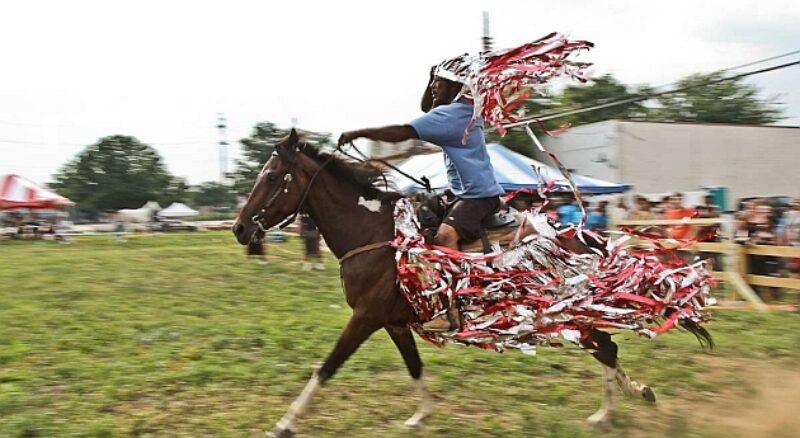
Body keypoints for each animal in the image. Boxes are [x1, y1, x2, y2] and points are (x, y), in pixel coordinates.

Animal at [231, 128, 668, 436]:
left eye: (272, 176)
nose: (239, 229)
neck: (374, 234)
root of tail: (586, 235)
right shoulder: (392, 321)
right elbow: (414, 366)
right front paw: (421, 416)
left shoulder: (365, 317)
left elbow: (326, 367)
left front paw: (285, 424)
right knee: (606, 348)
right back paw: (627, 398)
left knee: (605, 348)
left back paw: (609, 411)